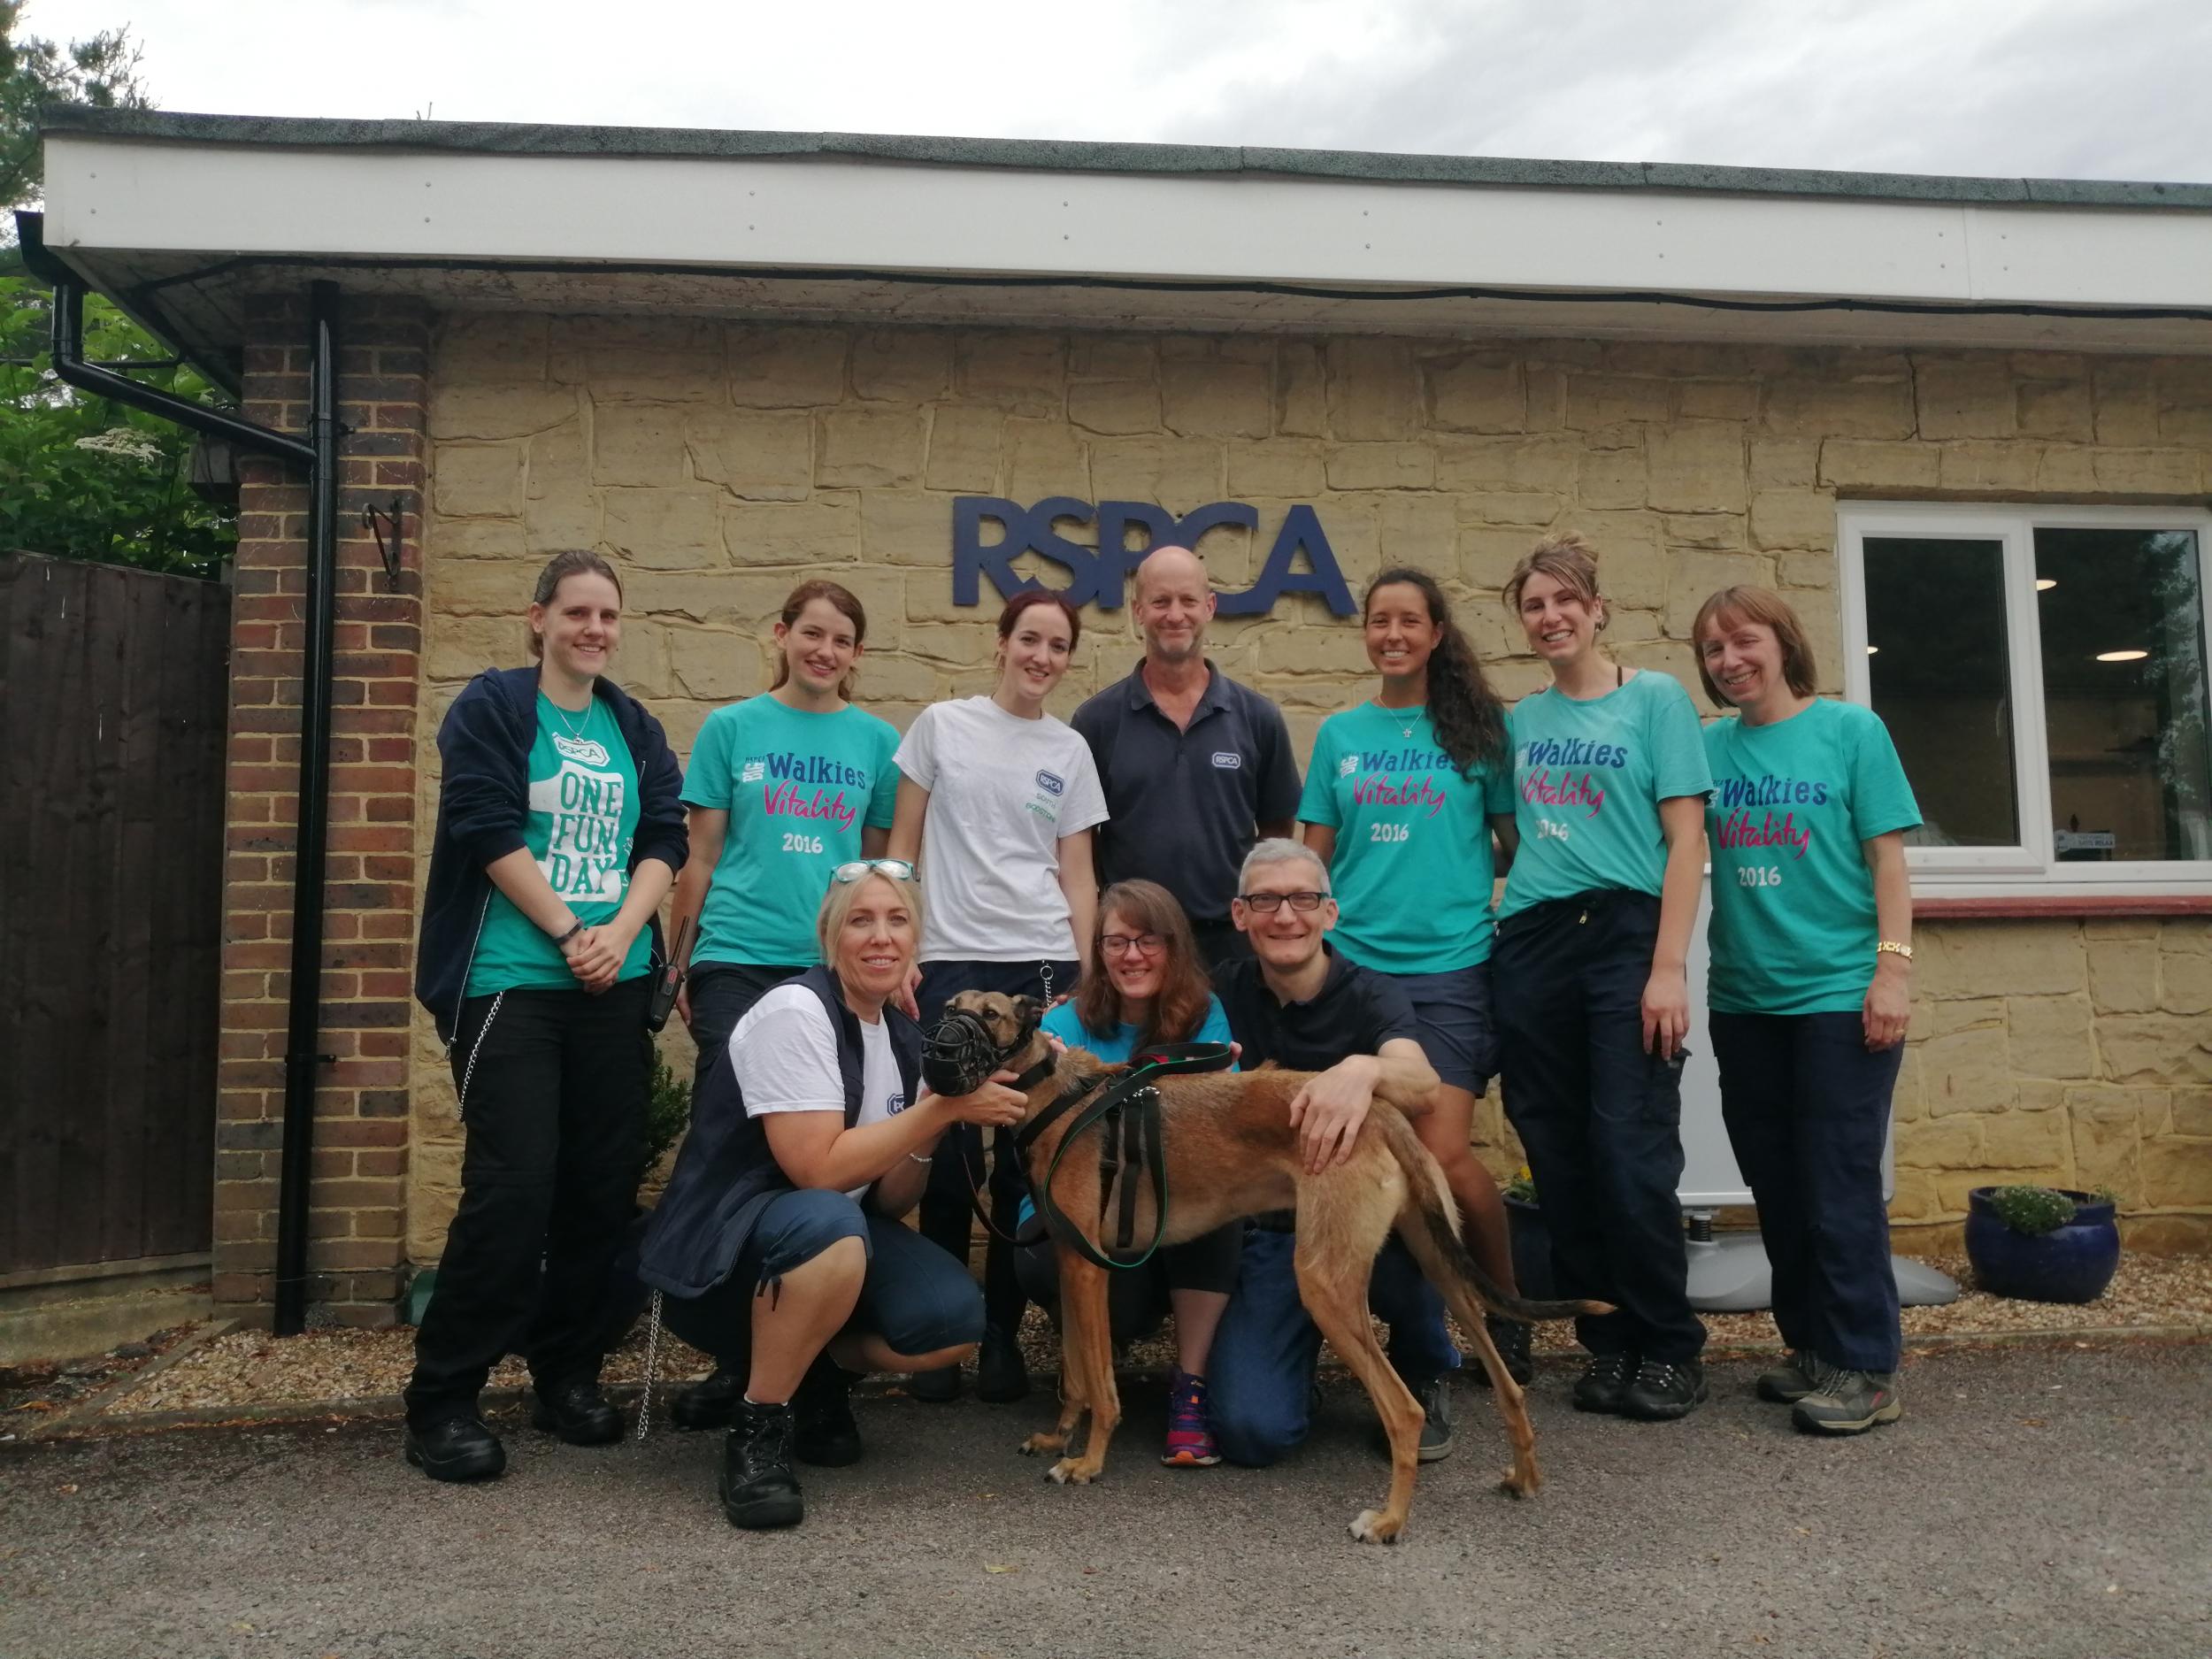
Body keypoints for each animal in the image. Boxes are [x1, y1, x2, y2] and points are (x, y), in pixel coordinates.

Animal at [951, 987, 1610, 1548]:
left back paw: (1389, 1520)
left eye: (989, 1014)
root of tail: (1377, 1111)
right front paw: (1057, 1437)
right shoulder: (1070, 1266)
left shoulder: (1091, 1269)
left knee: (1406, 1410)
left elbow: (1099, 1383)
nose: (942, 1043)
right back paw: (1523, 1475)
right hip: (1442, 1265)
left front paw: (1088, 1461)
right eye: (952, 1005)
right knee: (1507, 1384)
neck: (1064, 1098)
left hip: (1326, 1285)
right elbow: (1075, 1374)